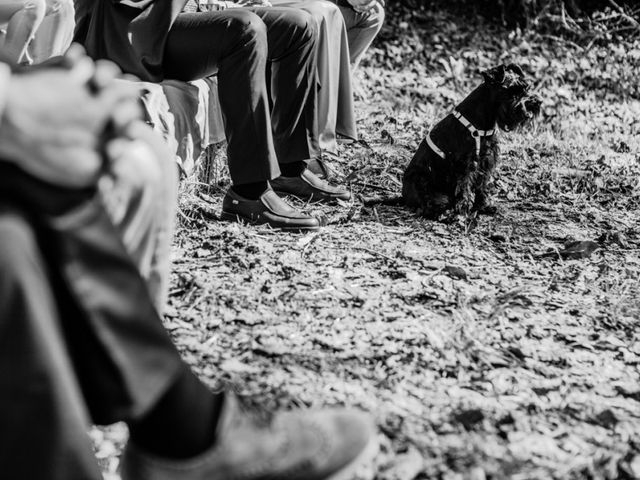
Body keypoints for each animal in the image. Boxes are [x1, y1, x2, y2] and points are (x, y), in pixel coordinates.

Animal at [402, 64, 544, 218]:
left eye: (526, 87)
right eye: (512, 91)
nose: (537, 102)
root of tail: (403, 196)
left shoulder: (487, 160)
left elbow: (482, 186)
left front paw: (483, 206)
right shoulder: (466, 164)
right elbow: (463, 187)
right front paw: (463, 211)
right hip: (422, 181)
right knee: (427, 204)